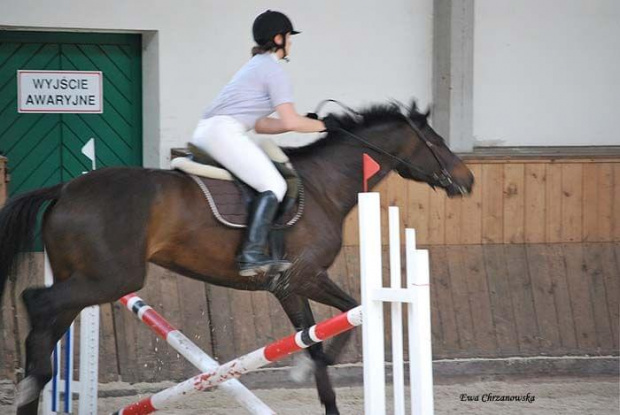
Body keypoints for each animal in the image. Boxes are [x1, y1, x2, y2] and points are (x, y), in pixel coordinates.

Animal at [1, 101, 474, 415]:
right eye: (436, 142)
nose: (467, 181)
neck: (324, 186)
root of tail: (65, 188)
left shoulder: (288, 286)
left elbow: (315, 336)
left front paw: (315, 378)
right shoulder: (303, 276)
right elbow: (348, 318)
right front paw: (307, 368)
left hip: (83, 279)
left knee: (47, 325)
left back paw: (31, 393)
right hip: (113, 279)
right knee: (35, 302)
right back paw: (29, 386)